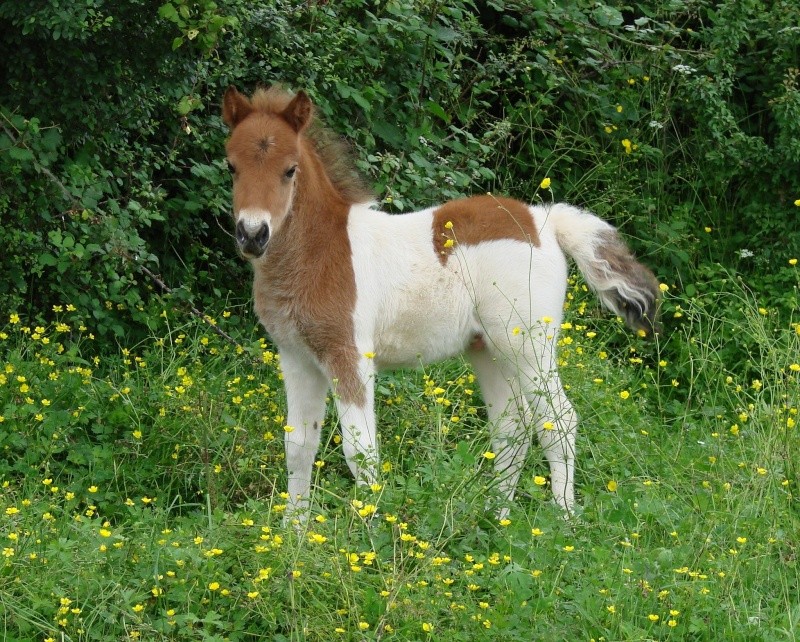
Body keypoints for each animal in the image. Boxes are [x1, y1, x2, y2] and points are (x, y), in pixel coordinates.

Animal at [219, 85, 656, 524]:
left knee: (557, 420)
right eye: (231, 166)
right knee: (511, 429)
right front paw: (294, 532)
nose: (252, 234)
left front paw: (368, 531)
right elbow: (298, 448)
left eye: (290, 170)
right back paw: (499, 519)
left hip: (529, 344)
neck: (320, 251)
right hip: (488, 349)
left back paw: (564, 519)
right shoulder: (296, 357)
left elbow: (361, 452)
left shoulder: (349, 355)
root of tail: (544, 221)